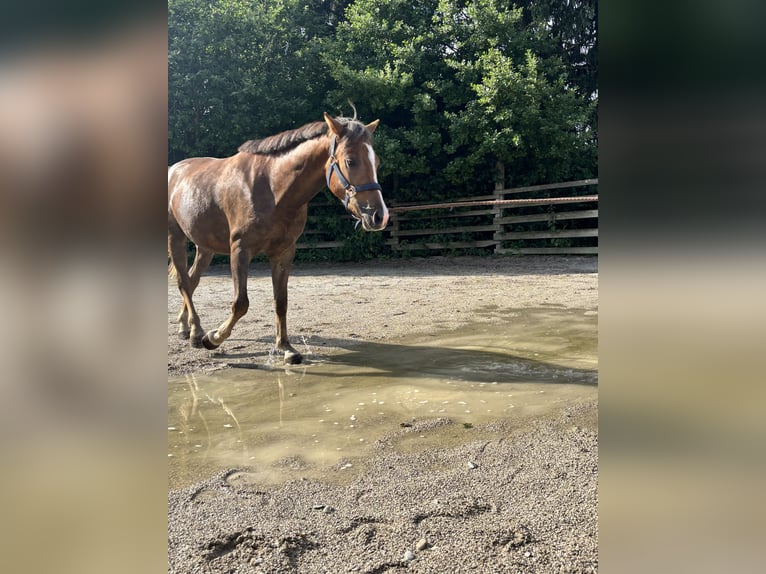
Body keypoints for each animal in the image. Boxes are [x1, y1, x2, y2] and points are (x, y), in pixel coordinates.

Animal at [168, 113, 389, 364]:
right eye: (351, 161)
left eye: (376, 161)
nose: (379, 215)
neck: (272, 188)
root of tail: (174, 169)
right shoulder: (240, 250)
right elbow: (240, 303)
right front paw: (213, 338)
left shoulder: (284, 251)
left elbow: (281, 301)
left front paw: (286, 347)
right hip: (176, 238)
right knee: (184, 282)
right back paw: (197, 333)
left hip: (205, 247)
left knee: (192, 280)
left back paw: (186, 327)